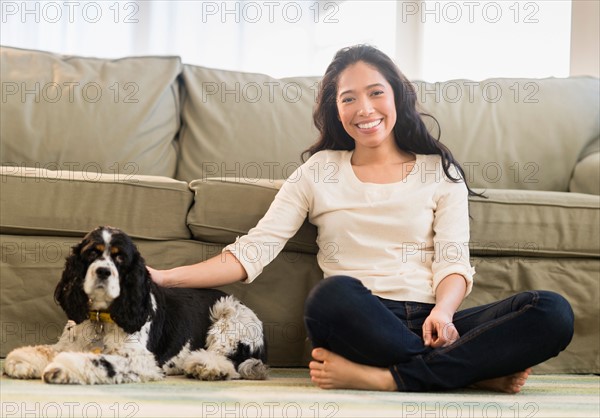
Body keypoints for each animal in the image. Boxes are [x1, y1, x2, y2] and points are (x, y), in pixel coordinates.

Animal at [3, 227, 268, 384]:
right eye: (91, 254)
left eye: (120, 257)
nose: (103, 271)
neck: (101, 317)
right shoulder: (70, 341)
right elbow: (48, 349)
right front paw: (22, 360)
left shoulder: (140, 359)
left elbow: (100, 361)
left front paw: (62, 368)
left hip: (228, 315)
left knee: (230, 363)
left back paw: (206, 367)